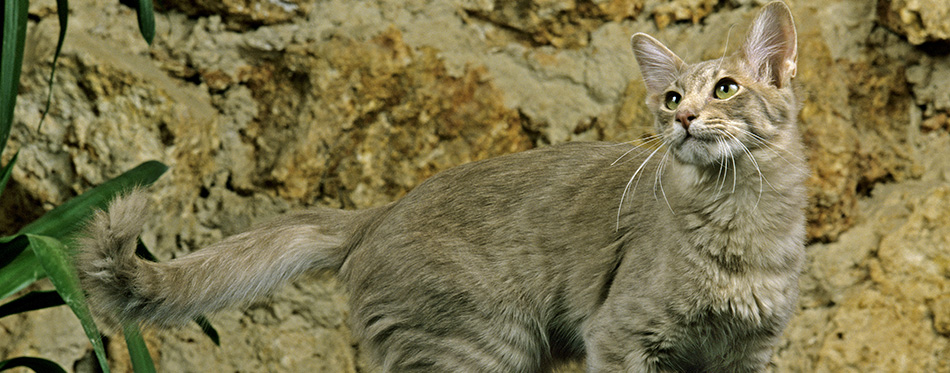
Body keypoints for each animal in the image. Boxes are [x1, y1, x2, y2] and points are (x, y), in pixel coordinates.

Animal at [80, 1, 812, 370]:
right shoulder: (622, 337)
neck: (741, 222)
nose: (684, 118)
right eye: (670, 98)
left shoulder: (745, 356)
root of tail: (380, 210)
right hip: (481, 347)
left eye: (726, 89)